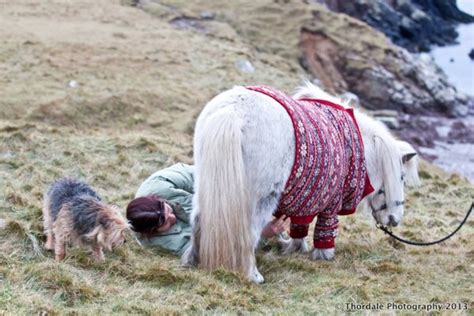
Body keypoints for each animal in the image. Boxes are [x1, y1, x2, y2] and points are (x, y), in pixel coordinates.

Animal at [181, 82, 418, 284]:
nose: (395, 220)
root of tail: (233, 112)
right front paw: (324, 255)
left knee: (198, 220)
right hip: (261, 199)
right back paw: (253, 275)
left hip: (205, 185)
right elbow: (325, 231)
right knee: (248, 233)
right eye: (401, 177)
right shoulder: (330, 204)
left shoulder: (305, 200)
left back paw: (191, 261)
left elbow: (299, 226)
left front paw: (294, 248)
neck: (354, 147)